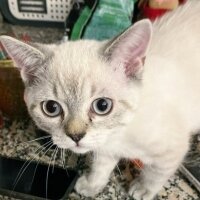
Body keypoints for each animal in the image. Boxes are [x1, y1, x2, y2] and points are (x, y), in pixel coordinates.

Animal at [0, 0, 199, 199]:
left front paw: (143, 189)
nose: (76, 136)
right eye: (51, 108)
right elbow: (101, 166)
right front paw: (92, 185)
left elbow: (155, 174)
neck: (118, 135)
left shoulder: (172, 150)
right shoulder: (104, 147)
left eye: (102, 106)